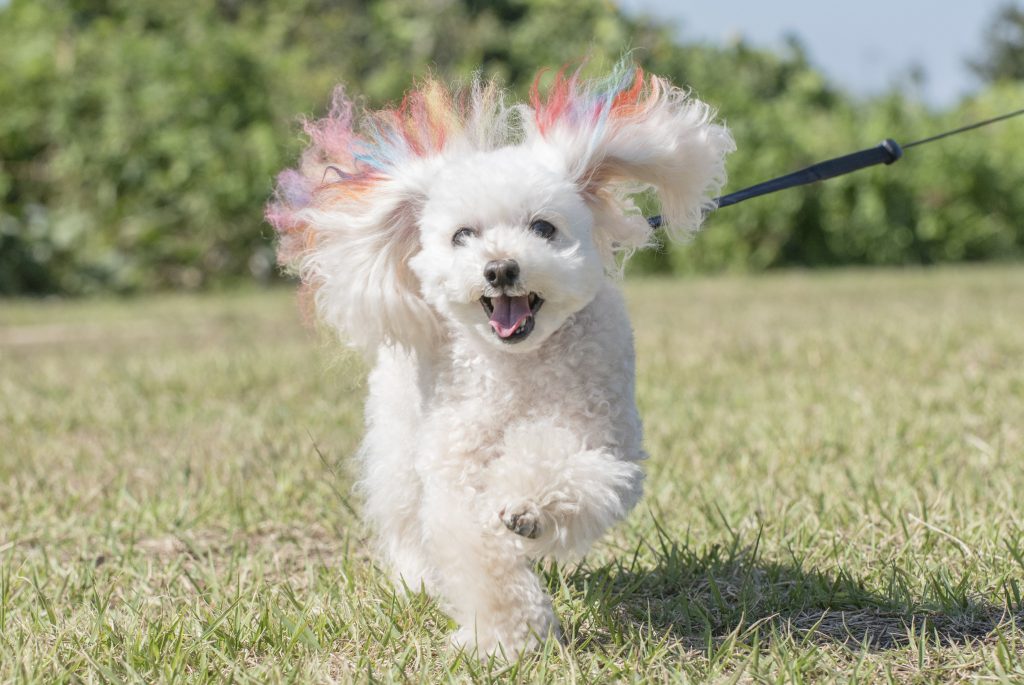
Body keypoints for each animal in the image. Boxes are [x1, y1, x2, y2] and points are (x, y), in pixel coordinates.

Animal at [268, 61, 733, 655]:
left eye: (543, 227)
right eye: (462, 235)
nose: (500, 268)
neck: (518, 368)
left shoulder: (604, 442)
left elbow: (567, 470)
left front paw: (527, 508)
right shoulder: (453, 467)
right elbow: (478, 550)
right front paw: (511, 641)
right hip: (397, 440)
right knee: (403, 515)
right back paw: (416, 579)